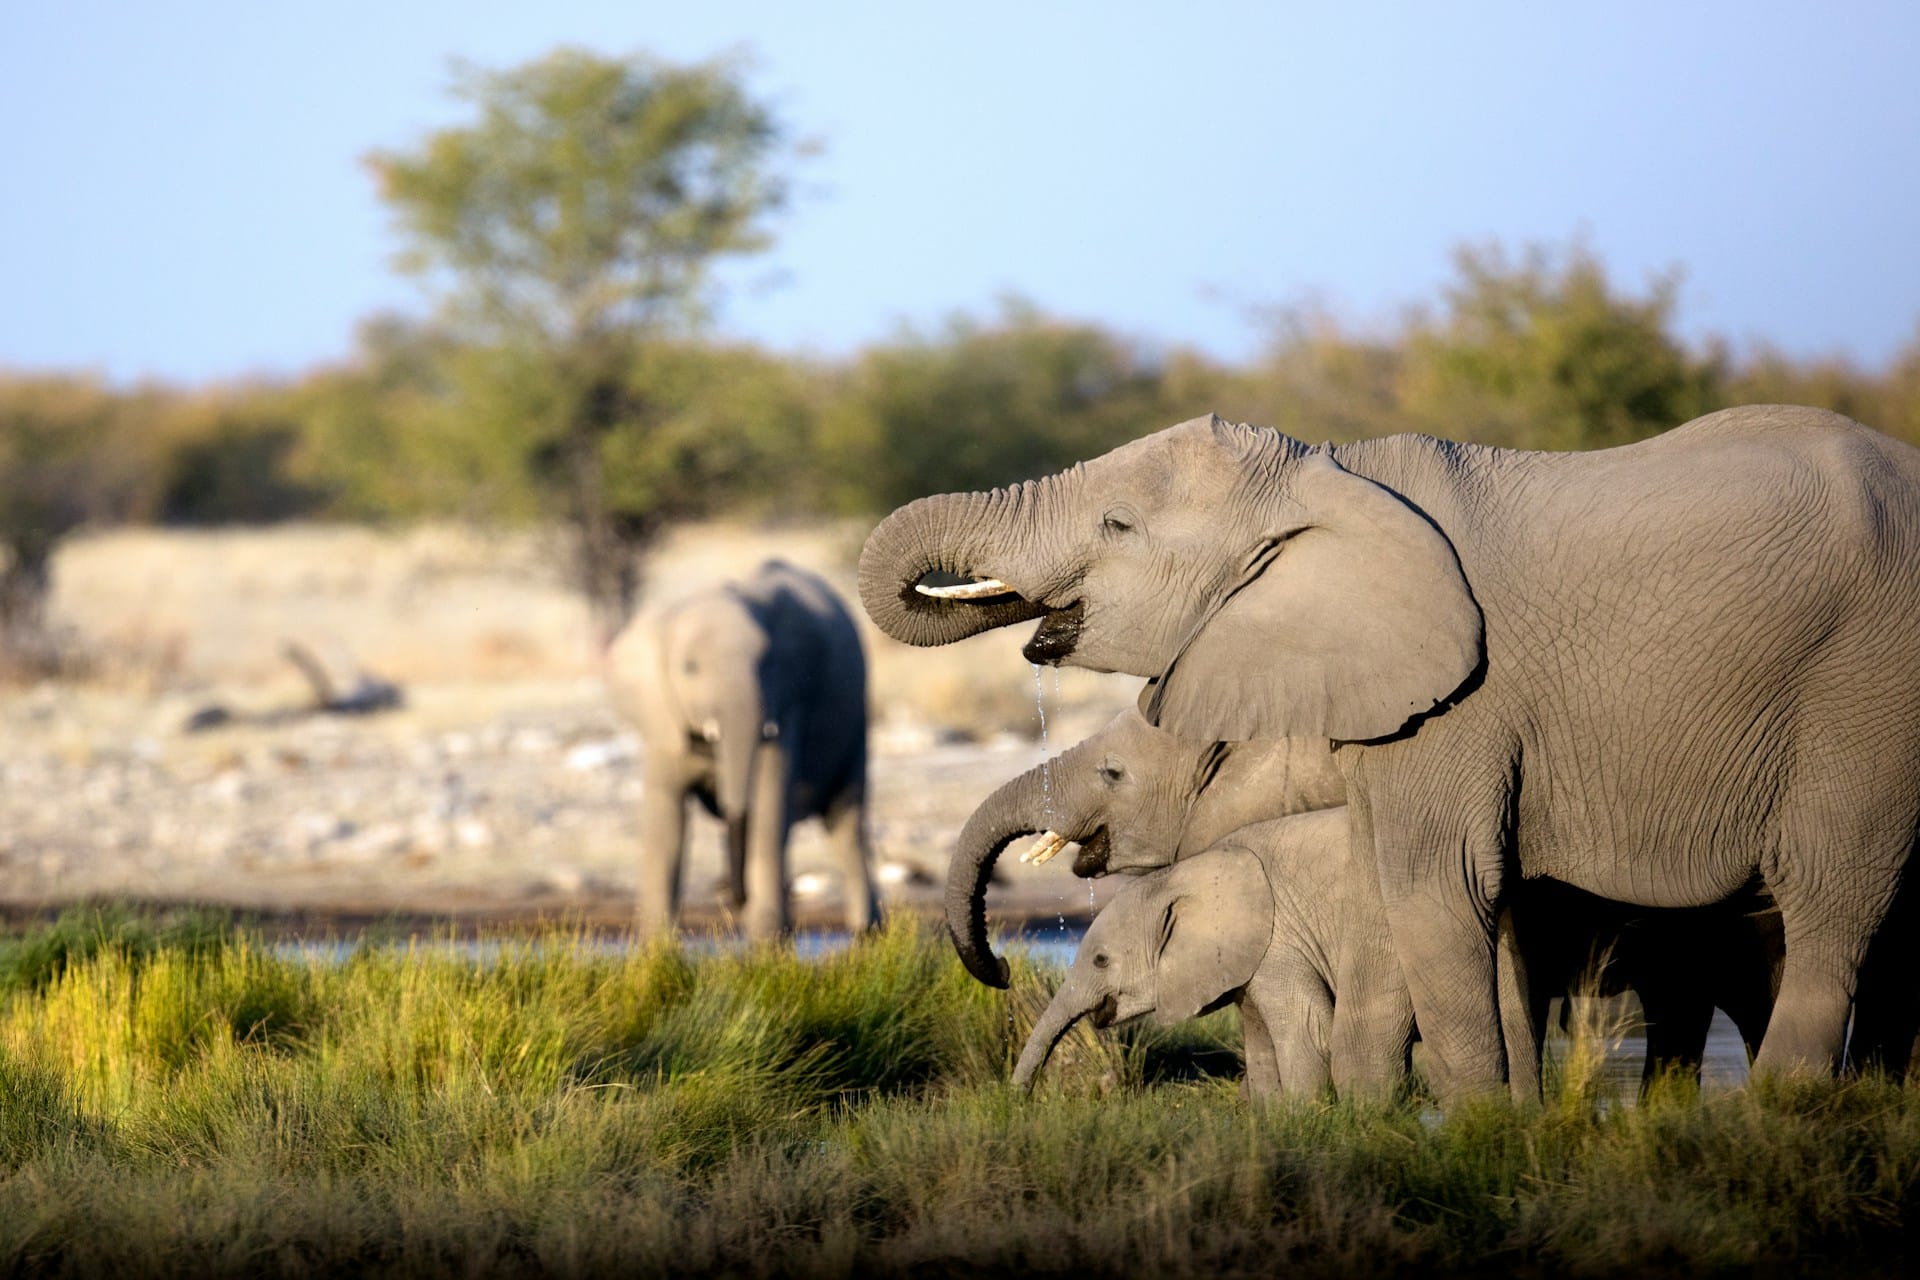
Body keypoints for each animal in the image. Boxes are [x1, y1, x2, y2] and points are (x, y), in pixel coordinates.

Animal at [606, 559, 881, 941]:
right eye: (690, 668)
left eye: (766, 663)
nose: (731, 894)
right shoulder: (663, 719)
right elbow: (666, 823)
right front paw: (656, 946)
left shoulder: (787, 699)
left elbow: (768, 804)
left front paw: (766, 944)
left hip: (857, 723)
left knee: (845, 823)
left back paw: (867, 934)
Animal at [860, 404, 1920, 1098]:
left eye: (1118, 525)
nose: (1002, 969)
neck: (1329, 476)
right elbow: (1483, 911)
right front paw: (1510, 1127)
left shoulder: (1464, 703)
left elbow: (1433, 886)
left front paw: (1472, 1140)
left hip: (1864, 689)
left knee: (1830, 900)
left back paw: (1780, 1123)